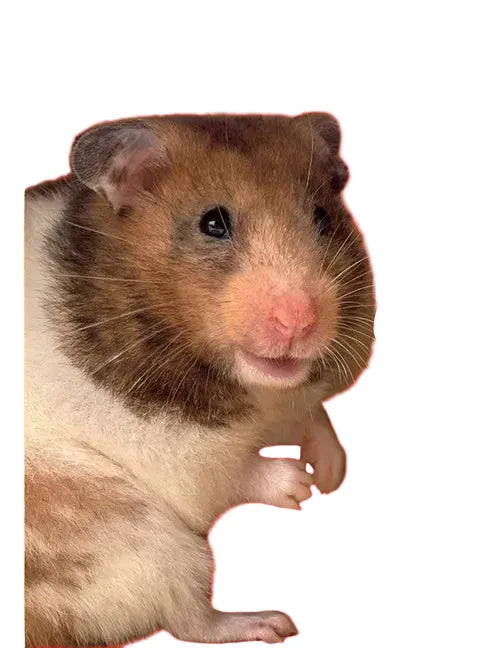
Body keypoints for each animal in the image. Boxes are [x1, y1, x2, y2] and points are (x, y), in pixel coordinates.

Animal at [24, 112, 376, 646]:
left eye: (323, 218)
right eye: (213, 223)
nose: (299, 323)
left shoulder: (283, 402)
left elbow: (311, 413)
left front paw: (330, 475)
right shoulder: (181, 455)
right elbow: (233, 472)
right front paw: (300, 485)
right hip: (142, 540)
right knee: (190, 619)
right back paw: (270, 622)